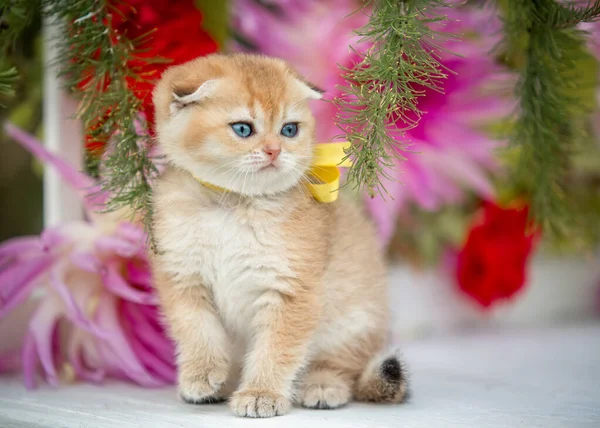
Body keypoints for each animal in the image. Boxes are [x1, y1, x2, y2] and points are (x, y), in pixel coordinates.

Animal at [150, 51, 408, 416]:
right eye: (243, 128)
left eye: (289, 129)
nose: (275, 151)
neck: (232, 206)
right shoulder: (184, 278)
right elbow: (198, 330)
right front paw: (202, 373)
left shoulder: (289, 289)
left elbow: (275, 349)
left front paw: (262, 393)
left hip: (354, 318)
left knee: (344, 366)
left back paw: (323, 385)